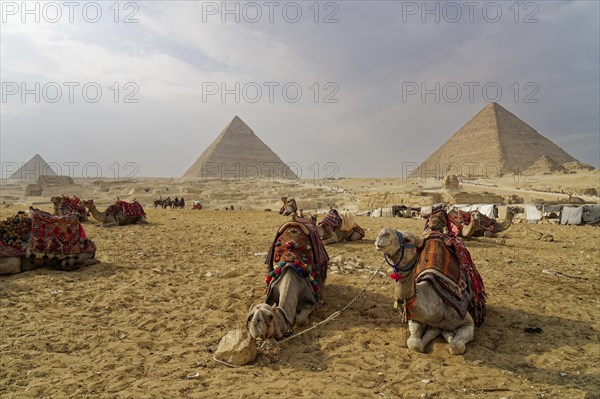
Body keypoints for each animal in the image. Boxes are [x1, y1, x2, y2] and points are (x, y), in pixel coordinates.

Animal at [376, 228, 488, 356]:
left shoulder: (468, 322)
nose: (383, 234)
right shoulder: (416, 318)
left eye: (407, 239)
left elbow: (456, 346)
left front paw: (447, 334)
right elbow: (413, 344)